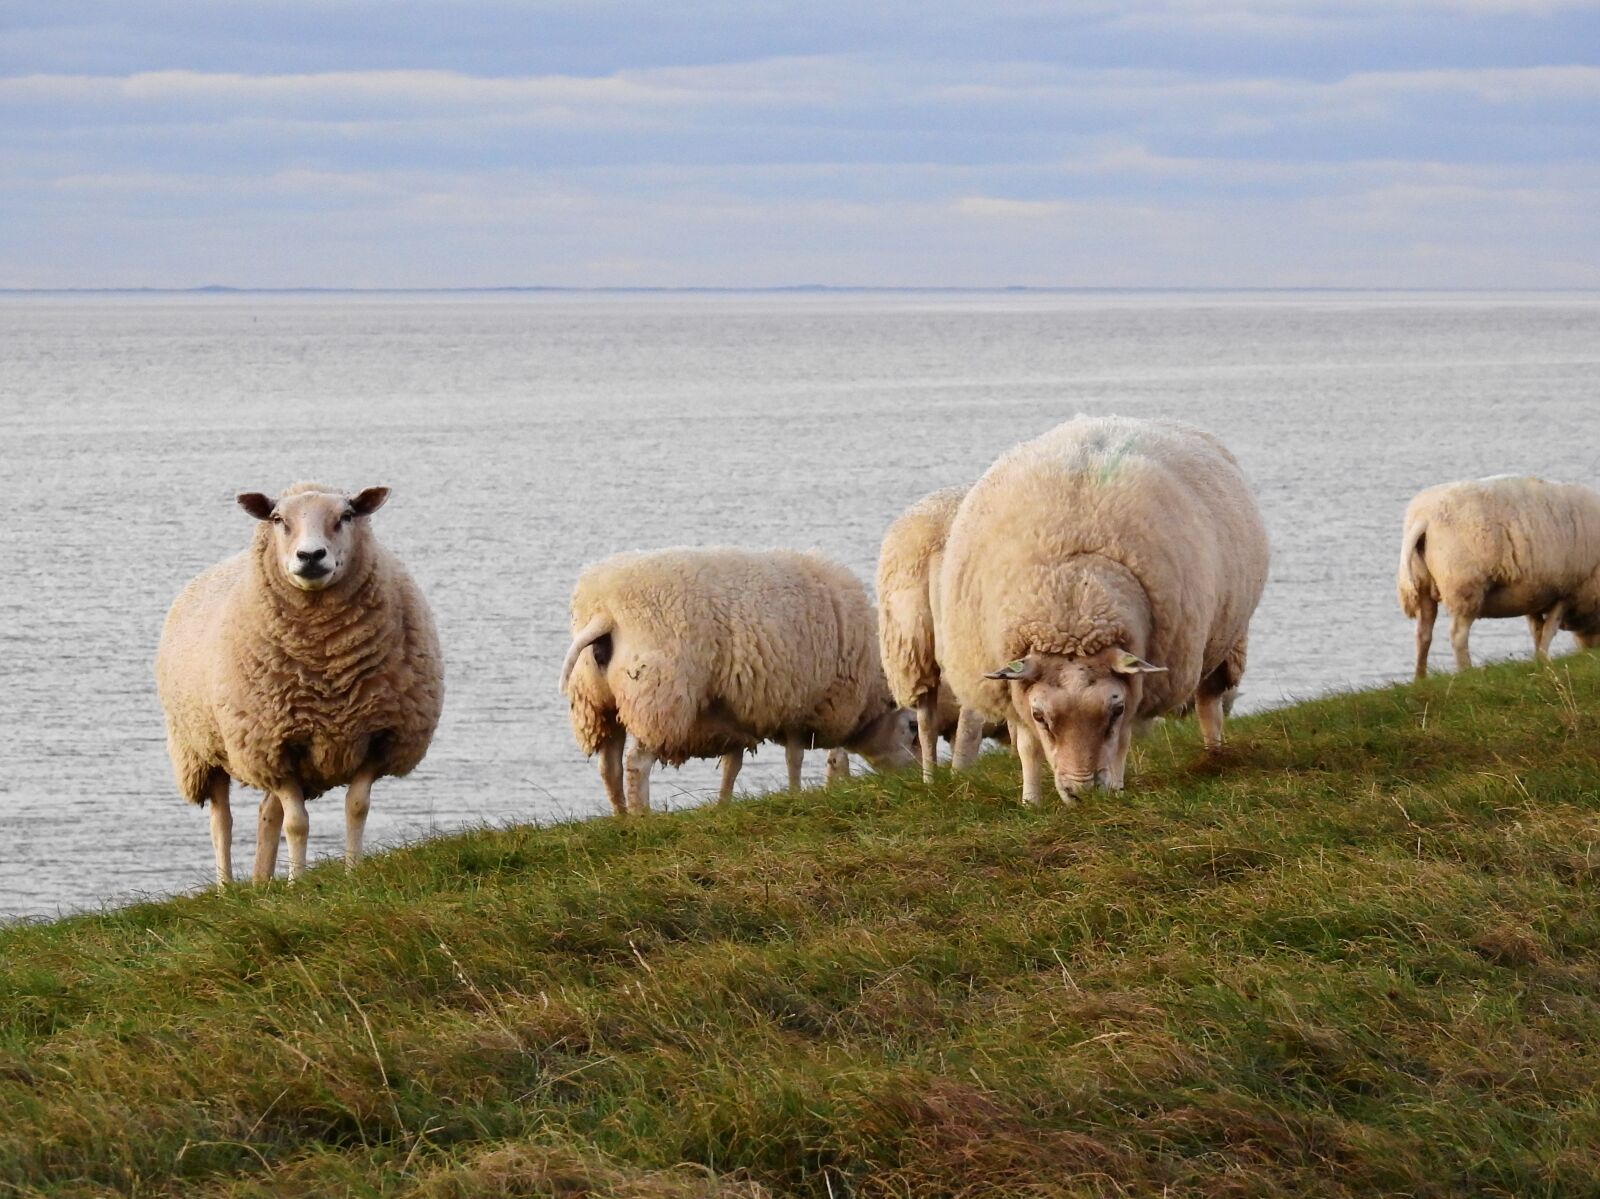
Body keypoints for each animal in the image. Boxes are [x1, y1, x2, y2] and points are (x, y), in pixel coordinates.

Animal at [155, 483, 444, 886]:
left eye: (347, 515)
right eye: (278, 519)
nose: (310, 556)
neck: (326, 666)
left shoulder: (379, 737)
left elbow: (356, 807)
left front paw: (351, 874)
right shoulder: (272, 749)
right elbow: (297, 824)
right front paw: (298, 884)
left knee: (266, 813)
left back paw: (261, 882)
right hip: (202, 750)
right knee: (221, 821)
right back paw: (226, 888)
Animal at [558, 547, 915, 814]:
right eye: (911, 727)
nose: (913, 780)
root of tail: (604, 611)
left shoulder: (735, 716)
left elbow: (733, 765)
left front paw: (724, 805)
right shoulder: (799, 705)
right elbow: (795, 759)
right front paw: (795, 795)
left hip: (598, 704)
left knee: (609, 766)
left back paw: (621, 817)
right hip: (657, 698)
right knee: (636, 764)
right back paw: (641, 816)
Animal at [876, 484, 1000, 779]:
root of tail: (934, 539)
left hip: (913, 645)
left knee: (925, 723)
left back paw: (930, 780)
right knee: (968, 720)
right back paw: (961, 774)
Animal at [937, 415, 1270, 805]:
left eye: (1116, 709)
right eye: (1040, 715)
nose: (1084, 794)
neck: (1072, 601)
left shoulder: (1136, 691)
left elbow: (1123, 741)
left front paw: (1118, 789)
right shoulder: (1013, 693)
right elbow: (1028, 749)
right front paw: (1030, 802)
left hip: (1225, 641)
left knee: (1209, 701)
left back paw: (1214, 753)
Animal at [1397, 475, 1600, 679]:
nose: (1591, 652)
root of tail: (1424, 518)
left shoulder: (1534, 594)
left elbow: (1537, 630)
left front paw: (1538, 661)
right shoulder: (1567, 591)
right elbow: (1549, 630)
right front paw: (1545, 662)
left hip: (1422, 586)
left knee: (1423, 634)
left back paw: (1420, 678)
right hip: (1464, 586)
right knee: (1457, 635)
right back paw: (1466, 671)